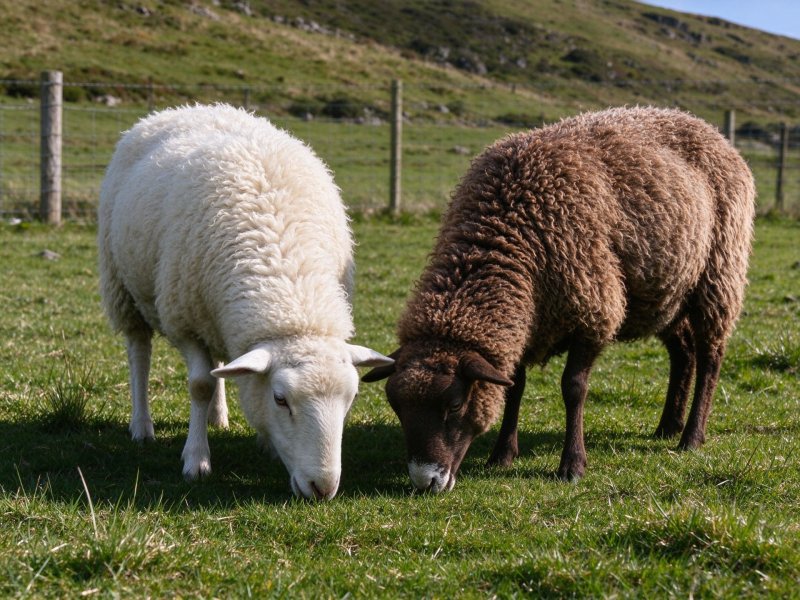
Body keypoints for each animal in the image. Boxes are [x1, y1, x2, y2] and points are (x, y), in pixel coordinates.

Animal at [98, 104, 392, 500]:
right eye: (280, 399)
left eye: (353, 397)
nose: (322, 488)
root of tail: (188, 108)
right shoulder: (184, 319)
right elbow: (199, 385)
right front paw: (196, 460)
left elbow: (219, 377)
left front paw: (263, 443)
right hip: (123, 287)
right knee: (139, 353)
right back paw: (142, 426)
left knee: (221, 363)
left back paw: (217, 416)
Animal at [363, 106, 755, 492]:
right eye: (396, 407)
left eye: (456, 403)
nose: (425, 482)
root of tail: (706, 127)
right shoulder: (526, 325)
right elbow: (514, 388)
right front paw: (502, 455)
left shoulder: (594, 312)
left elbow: (574, 388)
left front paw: (572, 465)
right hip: (665, 293)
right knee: (683, 351)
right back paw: (667, 426)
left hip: (718, 275)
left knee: (710, 357)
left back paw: (691, 436)